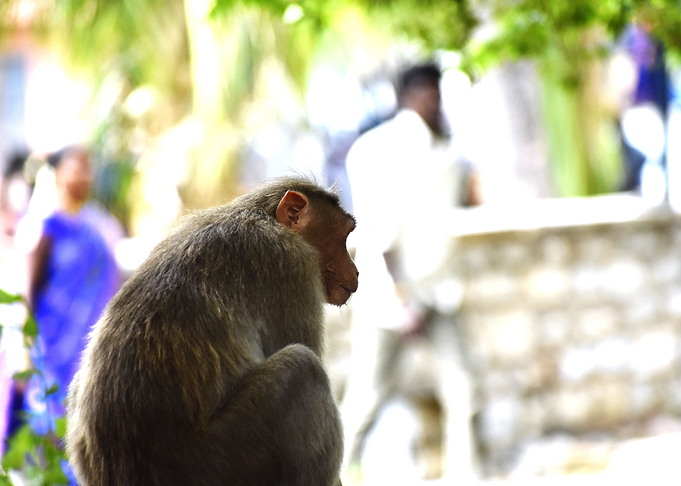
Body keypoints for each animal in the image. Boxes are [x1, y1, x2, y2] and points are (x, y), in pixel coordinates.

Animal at [65, 177, 359, 486]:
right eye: (343, 236)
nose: (356, 271)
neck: (262, 217)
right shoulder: (292, 263)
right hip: (221, 459)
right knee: (301, 369)